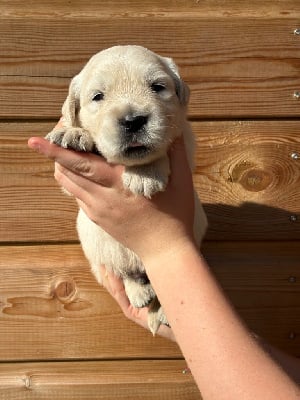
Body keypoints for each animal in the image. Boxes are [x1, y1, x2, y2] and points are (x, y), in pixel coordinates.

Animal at [45, 45, 207, 334]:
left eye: (157, 87)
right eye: (98, 96)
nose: (133, 121)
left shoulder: (184, 139)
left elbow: (160, 148)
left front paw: (145, 174)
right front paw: (74, 133)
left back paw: (161, 309)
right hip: (96, 245)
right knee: (125, 271)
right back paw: (139, 292)